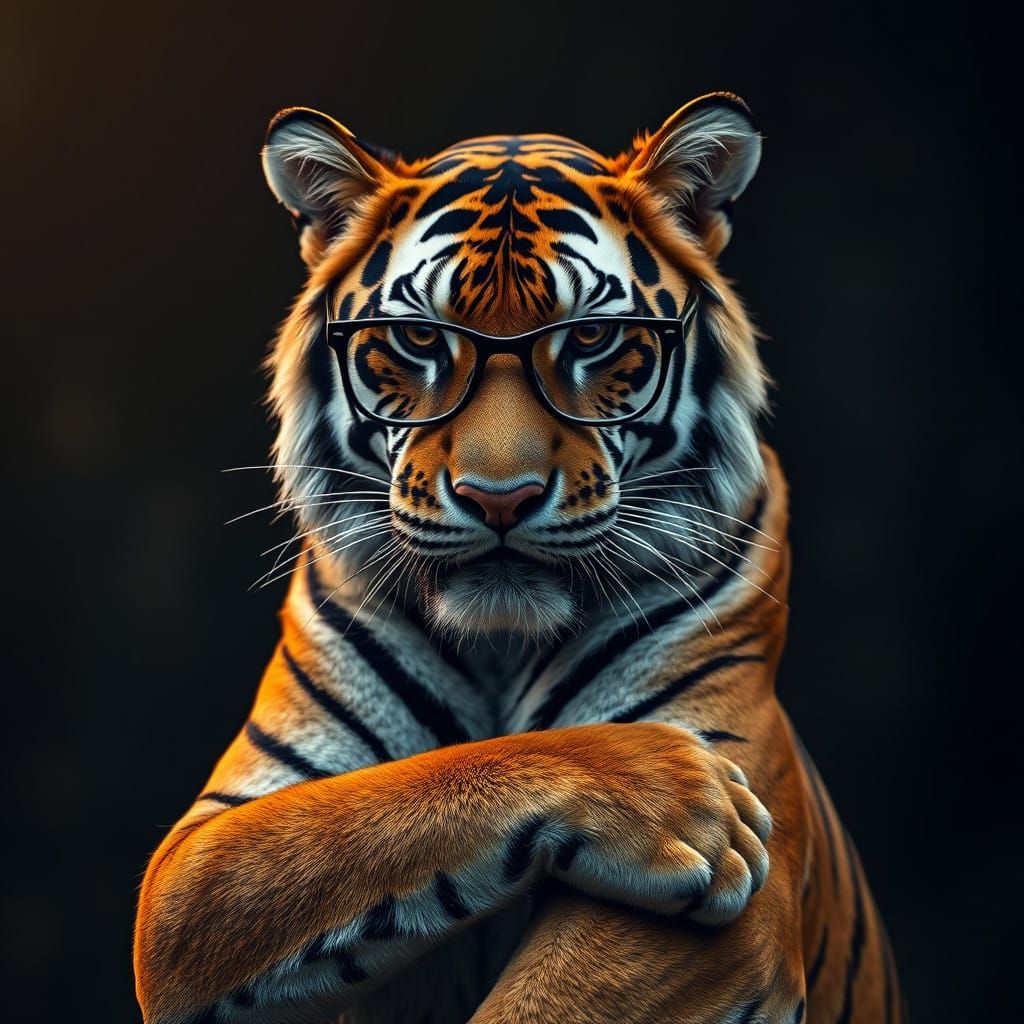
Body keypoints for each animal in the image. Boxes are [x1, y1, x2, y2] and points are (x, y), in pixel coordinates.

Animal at [134, 92, 905, 1024]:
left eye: (595, 338)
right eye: (421, 341)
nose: (499, 497)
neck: (501, 643)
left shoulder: (735, 903)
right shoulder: (200, 856)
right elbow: (389, 803)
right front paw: (677, 794)